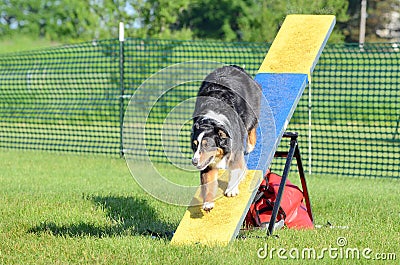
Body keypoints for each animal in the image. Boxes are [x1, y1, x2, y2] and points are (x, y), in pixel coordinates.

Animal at [191, 64, 262, 210]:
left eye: (207, 145)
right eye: (195, 146)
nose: (194, 162)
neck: (213, 120)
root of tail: (234, 66)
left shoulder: (235, 149)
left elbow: (235, 169)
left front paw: (231, 190)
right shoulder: (208, 164)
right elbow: (209, 181)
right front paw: (208, 203)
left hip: (251, 111)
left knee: (252, 126)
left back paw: (250, 146)